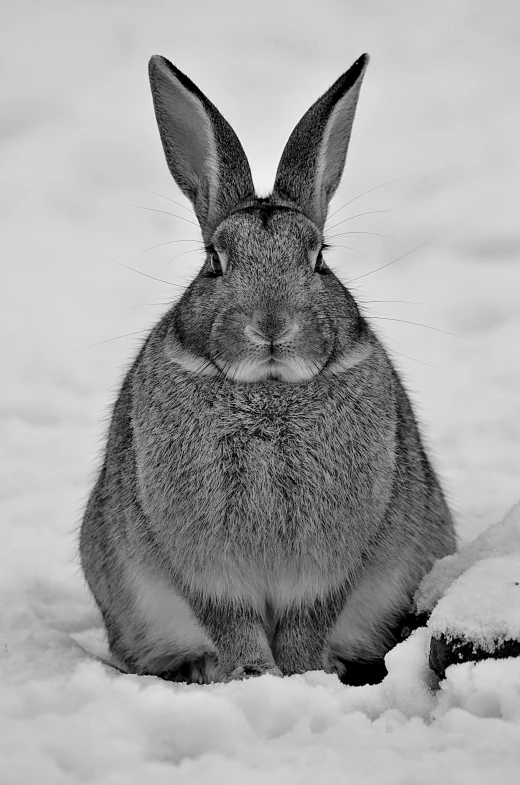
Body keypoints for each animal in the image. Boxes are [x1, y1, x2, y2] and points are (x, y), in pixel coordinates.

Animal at [79, 52, 458, 684]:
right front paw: (253, 675)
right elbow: (232, 622)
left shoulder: (329, 569)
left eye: (320, 257)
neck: (270, 390)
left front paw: (302, 677)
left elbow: (308, 622)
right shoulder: (207, 570)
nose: (273, 324)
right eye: (214, 260)